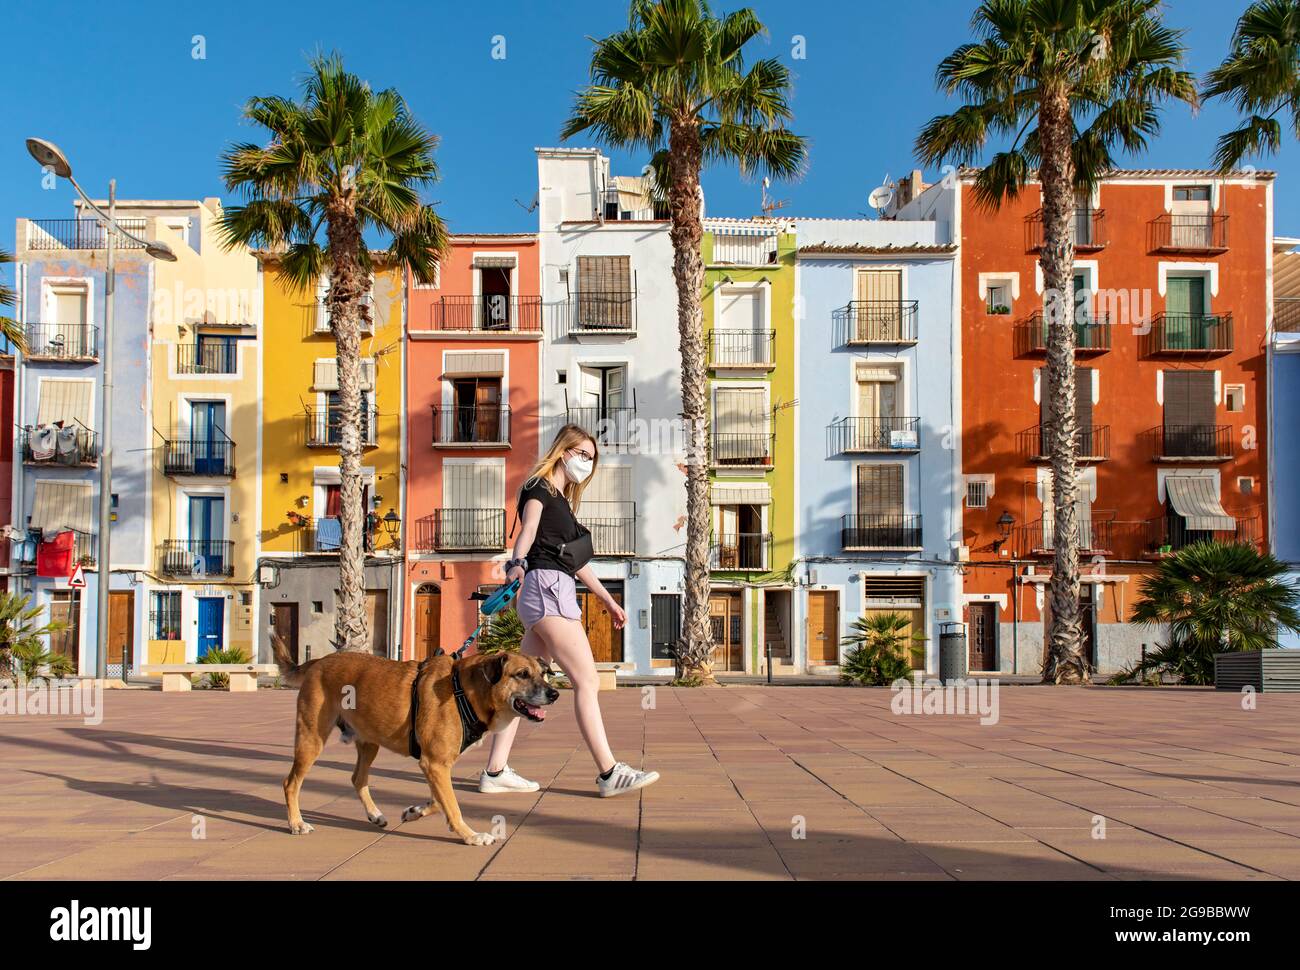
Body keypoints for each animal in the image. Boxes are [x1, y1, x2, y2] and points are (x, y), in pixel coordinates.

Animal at [269, 642, 559, 847]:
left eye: (544, 673)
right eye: (522, 674)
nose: (555, 693)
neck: (464, 691)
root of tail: (319, 661)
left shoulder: (435, 766)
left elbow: (440, 801)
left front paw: (414, 811)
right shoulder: (435, 764)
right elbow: (452, 805)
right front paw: (470, 835)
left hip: (369, 741)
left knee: (357, 778)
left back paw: (374, 814)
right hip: (312, 738)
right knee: (290, 783)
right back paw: (296, 823)